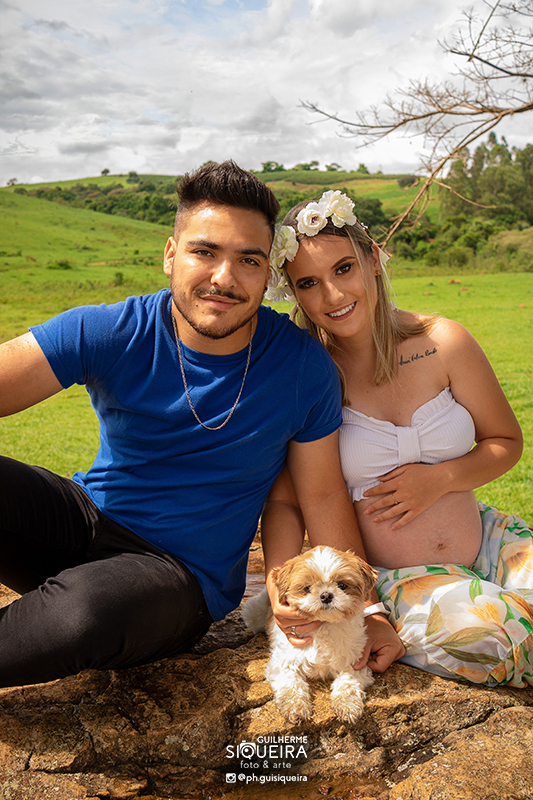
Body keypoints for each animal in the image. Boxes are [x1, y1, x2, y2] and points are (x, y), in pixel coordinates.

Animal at [242, 545, 377, 723]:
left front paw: (348, 705)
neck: (324, 626)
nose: (326, 595)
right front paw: (295, 707)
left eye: (342, 585)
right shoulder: (283, 662)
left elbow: (347, 682)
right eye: (307, 588)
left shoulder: (356, 662)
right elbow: (290, 683)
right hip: (254, 613)